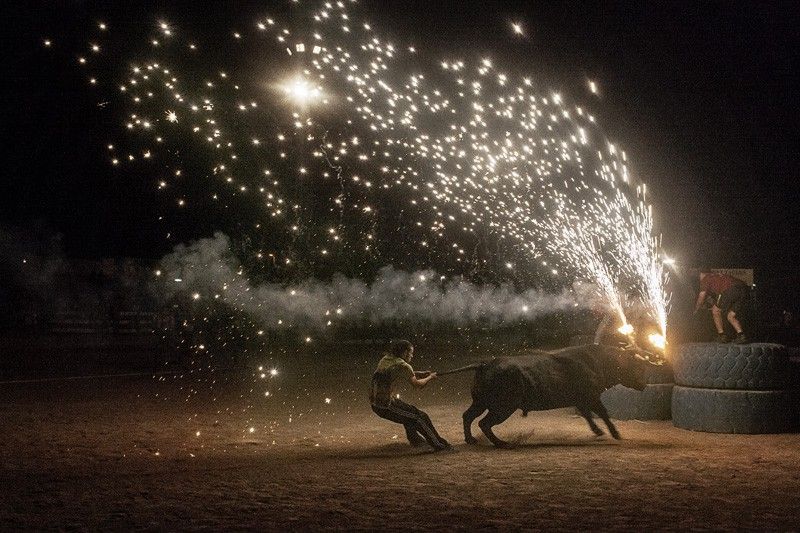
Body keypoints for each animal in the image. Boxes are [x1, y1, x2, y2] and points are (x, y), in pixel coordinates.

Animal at [450, 342, 664, 446]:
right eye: (636, 366)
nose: (644, 384)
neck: (600, 361)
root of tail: (485, 364)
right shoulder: (592, 397)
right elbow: (602, 413)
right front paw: (615, 433)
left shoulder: (581, 399)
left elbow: (588, 415)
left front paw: (598, 431)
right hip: (503, 407)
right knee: (484, 423)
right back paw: (501, 443)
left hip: (481, 403)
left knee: (468, 416)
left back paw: (471, 440)